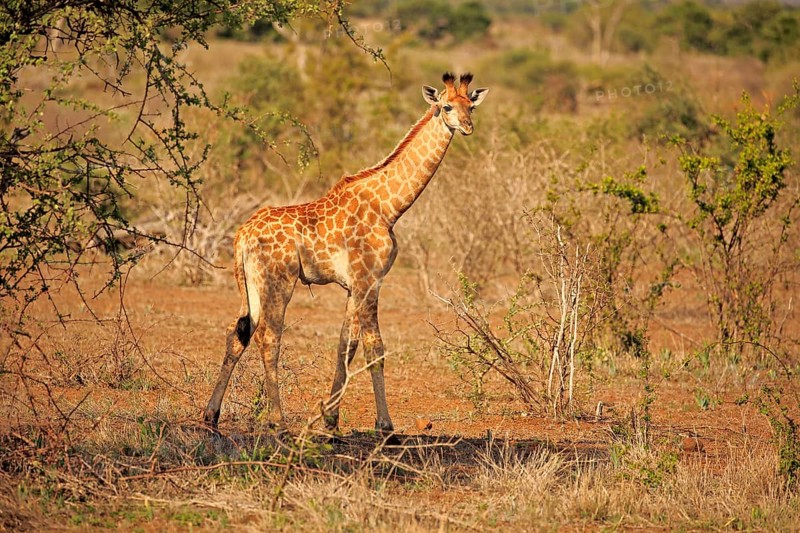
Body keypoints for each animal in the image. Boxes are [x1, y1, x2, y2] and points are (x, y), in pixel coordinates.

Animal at [203, 72, 488, 437]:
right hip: (277, 281)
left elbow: (346, 345)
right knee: (268, 336)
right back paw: (277, 422)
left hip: (251, 284)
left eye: (472, 106)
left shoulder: (354, 284)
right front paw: (385, 427)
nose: (467, 127)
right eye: (447, 106)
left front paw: (330, 420)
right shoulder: (370, 278)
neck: (388, 208)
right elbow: (374, 347)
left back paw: (211, 416)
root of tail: (242, 235)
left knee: (237, 332)